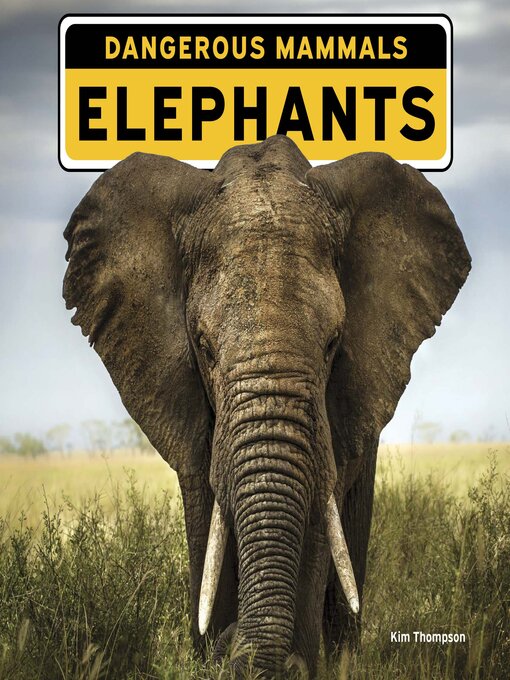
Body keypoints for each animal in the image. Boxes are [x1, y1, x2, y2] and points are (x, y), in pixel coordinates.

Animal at [63, 135, 470, 678]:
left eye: (333, 343)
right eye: (204, 347)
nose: (234, 646)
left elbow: (320, 513)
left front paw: (290, 661)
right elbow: (206, 513)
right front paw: (215, 650)